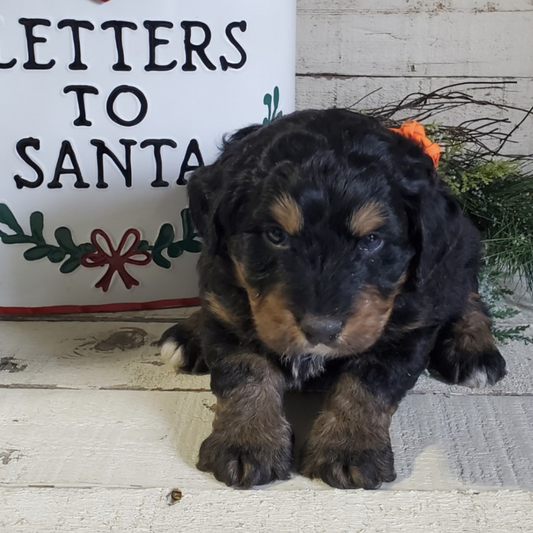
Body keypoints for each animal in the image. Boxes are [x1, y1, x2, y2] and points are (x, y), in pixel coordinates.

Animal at [156, 110, 504, 488]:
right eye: (275, 235)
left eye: (371, 241)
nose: (320, 330)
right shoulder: (226, 309)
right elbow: (244, 371)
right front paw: (247, 441)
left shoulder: (409, 329)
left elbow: (368, 382)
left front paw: (349, 447)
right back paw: (187, 336)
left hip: (459, 250)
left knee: (467, 293)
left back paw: (474, 350)